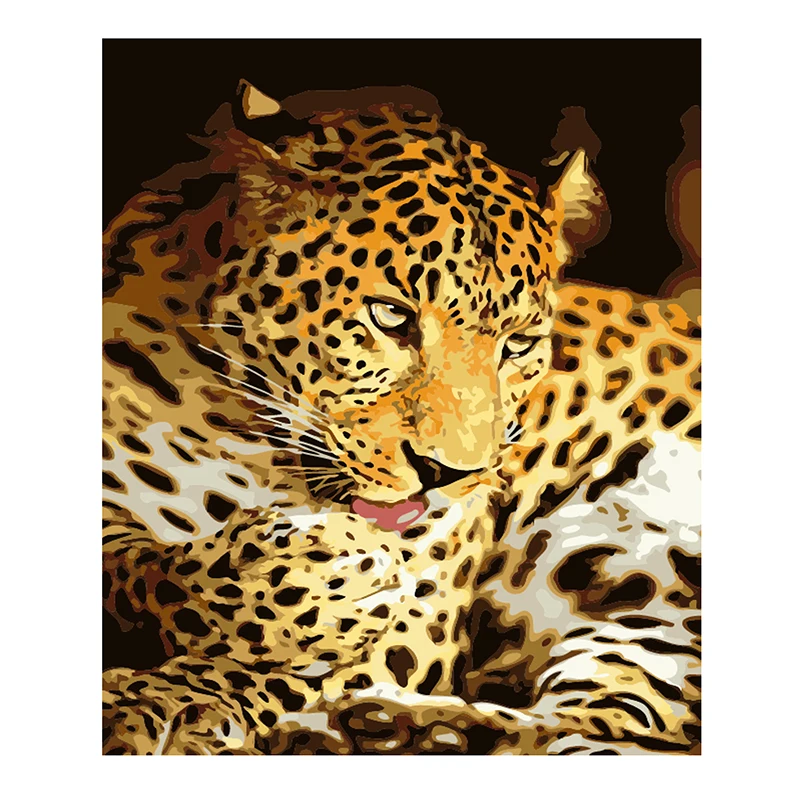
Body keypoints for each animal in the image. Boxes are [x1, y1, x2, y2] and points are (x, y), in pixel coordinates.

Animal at [102, 82, 700, 754]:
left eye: (518, 344)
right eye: (391, 316)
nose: (448, 476)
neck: (237, 428)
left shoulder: (422, 611)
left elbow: (272, 673)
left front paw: (169, 700)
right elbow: (139, 570)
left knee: (624, 730)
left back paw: (374, 725)